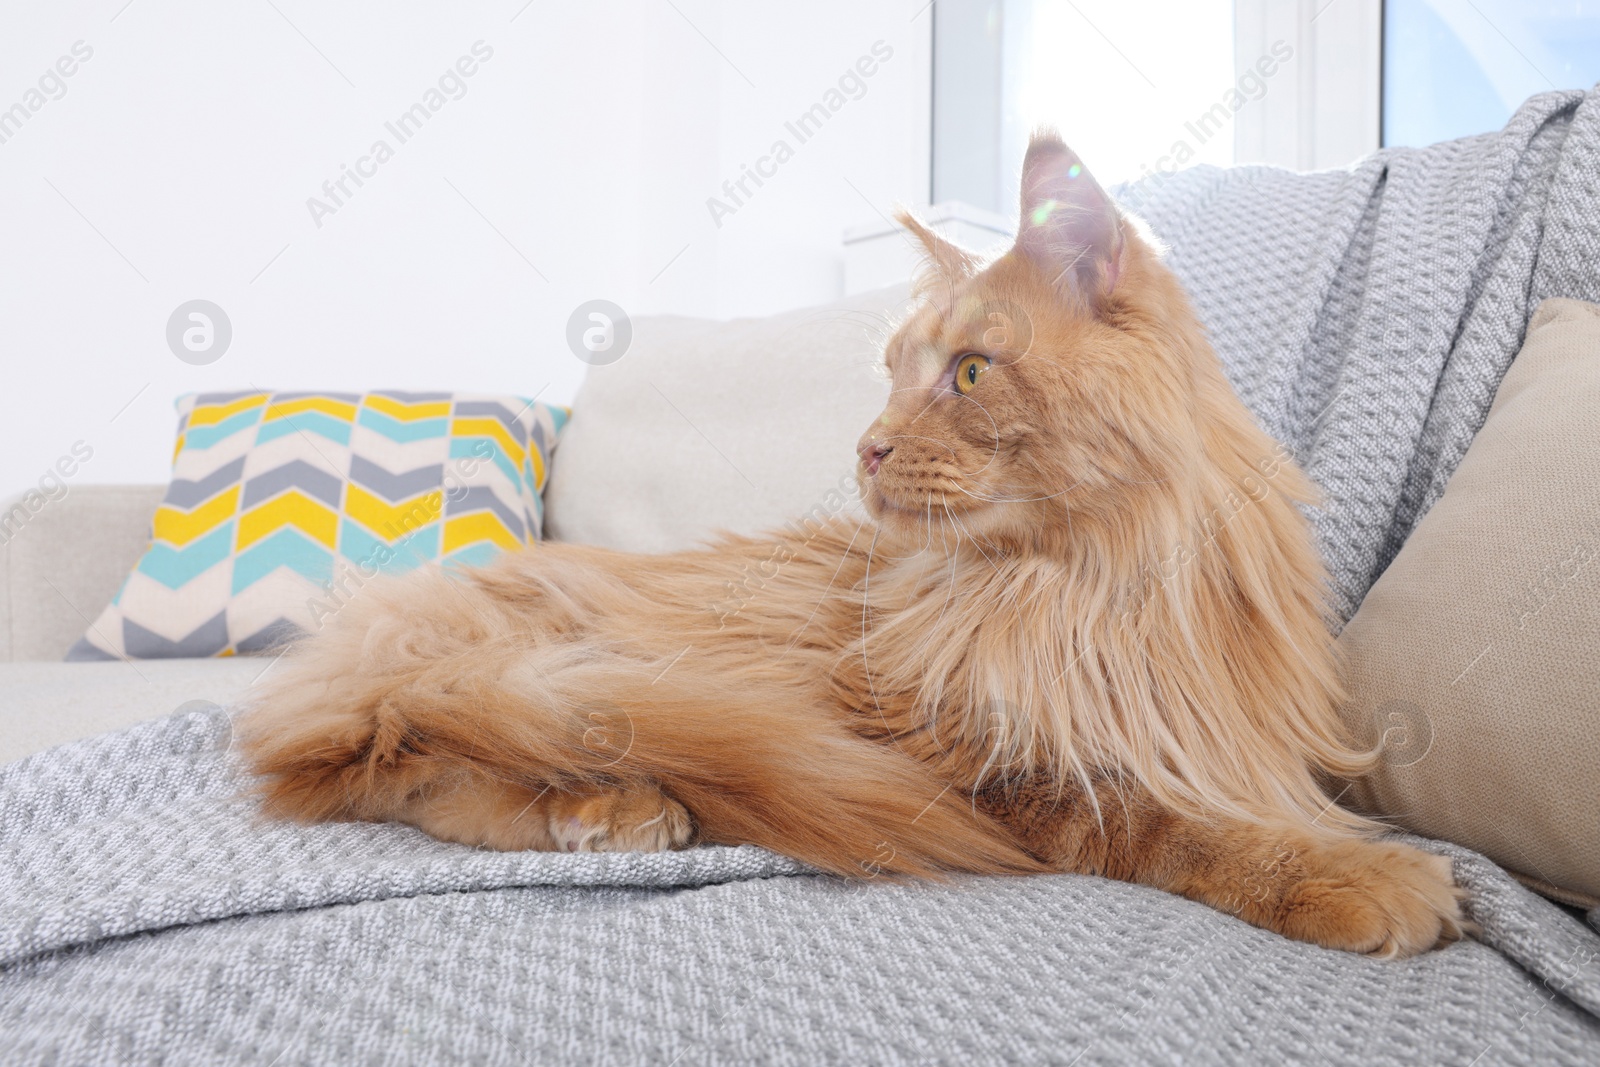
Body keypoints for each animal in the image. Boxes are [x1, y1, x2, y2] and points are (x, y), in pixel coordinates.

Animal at [246, 131, 1465, 959]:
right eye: (890, 377)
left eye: (967, 373)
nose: (869, 446)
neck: (1084, 589)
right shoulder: (965, 759)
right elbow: (1156, 821)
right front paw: (1352, 875)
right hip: (576, 674)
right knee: (413, 774)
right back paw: (614, 810)